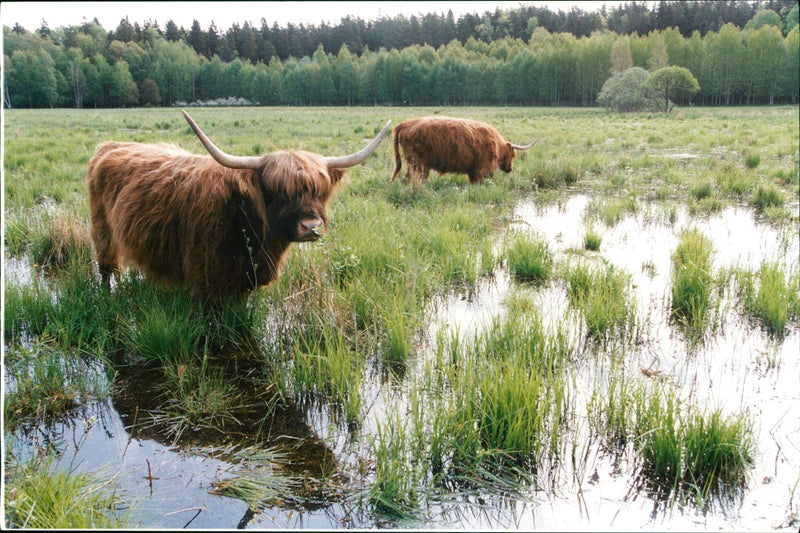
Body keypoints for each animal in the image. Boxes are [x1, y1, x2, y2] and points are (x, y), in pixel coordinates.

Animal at [390, 115, 536, 184]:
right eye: (512, 155)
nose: (510, 168)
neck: (497, 145)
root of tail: (405, 124)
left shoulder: (473, 170)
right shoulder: (482, 169)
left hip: (415, 163)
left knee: (407, 177)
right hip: (418, 163)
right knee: (414, 178)